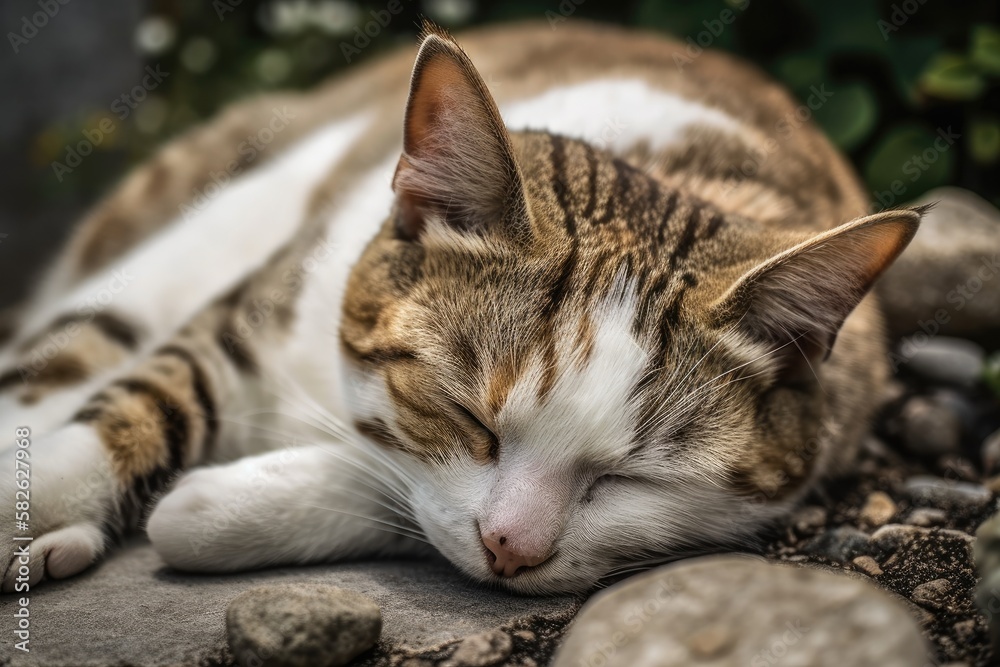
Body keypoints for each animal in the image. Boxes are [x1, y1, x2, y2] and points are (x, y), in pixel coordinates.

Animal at [0, 20, 920, 596]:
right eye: (469, 418)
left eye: (632, 478)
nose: (513, 547)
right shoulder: (262, 304)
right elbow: (152, 395)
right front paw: (40, 495)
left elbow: (394, 492)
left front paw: (224, 505)